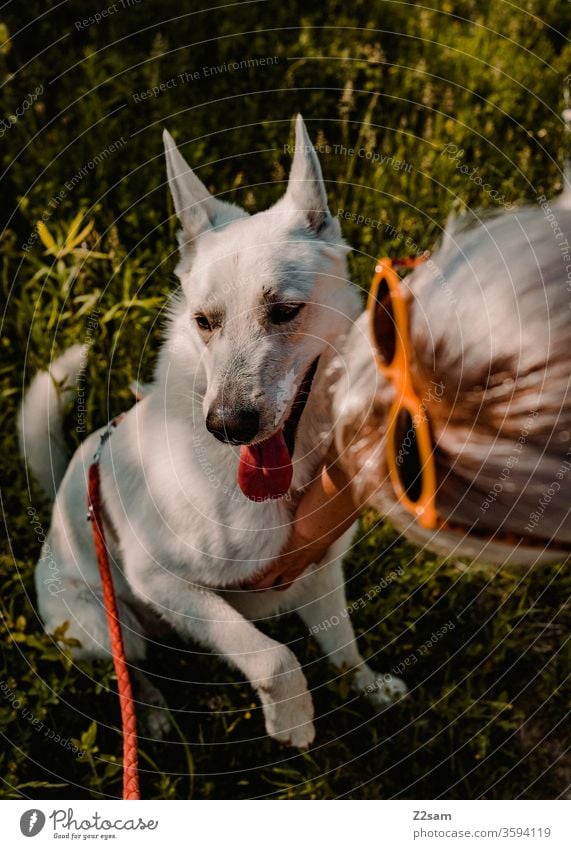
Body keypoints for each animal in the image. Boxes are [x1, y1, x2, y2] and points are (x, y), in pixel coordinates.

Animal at [21, 116, 406, 744]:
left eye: (285, 311)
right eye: (204, 321)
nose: (227, 425)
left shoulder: (321, 572)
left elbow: (343, 647)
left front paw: (370, 690)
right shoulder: (165, 583)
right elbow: (273, 656)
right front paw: (292, 721)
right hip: (101, 624)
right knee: (132, 669)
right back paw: (153, 714)